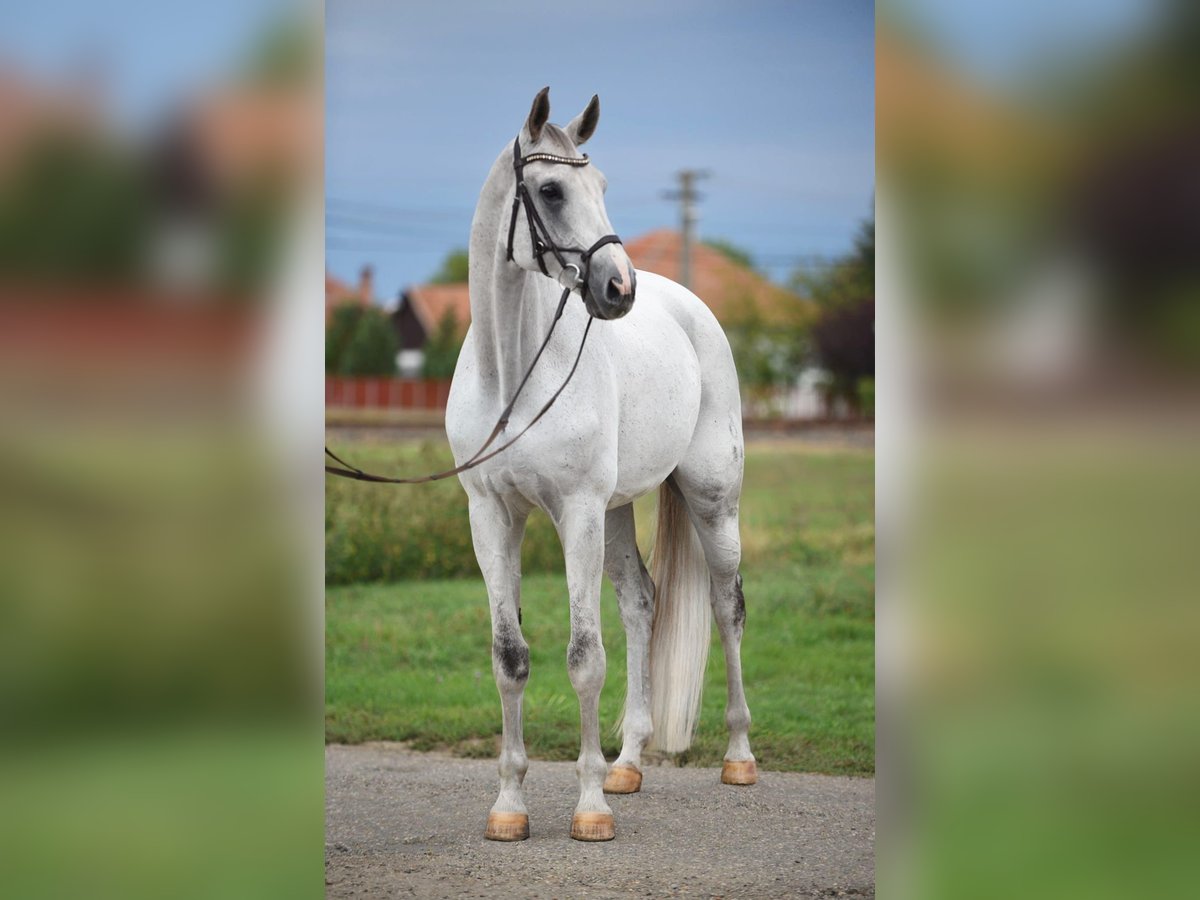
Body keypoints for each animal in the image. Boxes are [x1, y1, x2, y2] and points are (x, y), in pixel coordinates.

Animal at [446, 88, 753, 844]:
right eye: (551, 190)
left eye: (604, 187)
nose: (618, 288)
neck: (515, 377)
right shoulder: (491, 516)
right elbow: (510, 658)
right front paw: (510, 805)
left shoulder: (576, 512)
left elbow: (585, 659)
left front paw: (588, 809)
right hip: (616, 514)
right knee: (643, 604)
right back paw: (628, 763)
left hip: (711, 500)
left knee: (726, 606)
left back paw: (738, 757)